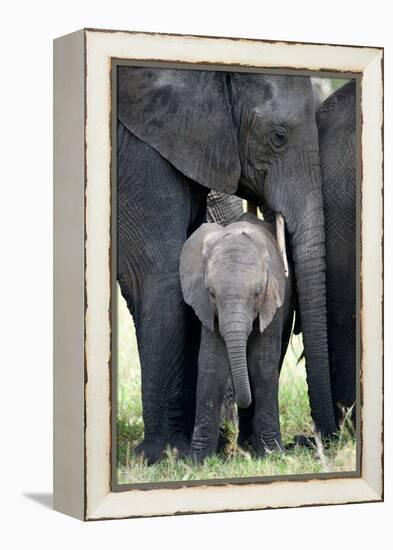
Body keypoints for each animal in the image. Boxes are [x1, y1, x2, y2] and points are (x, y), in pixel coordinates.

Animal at [179, 213, 292, 464]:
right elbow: (212, 364)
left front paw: (273, 455)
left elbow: (262, 365)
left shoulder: (273, 299)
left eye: (257, 293)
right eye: (211, 293)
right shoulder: (207, 308)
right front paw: (197, 462)